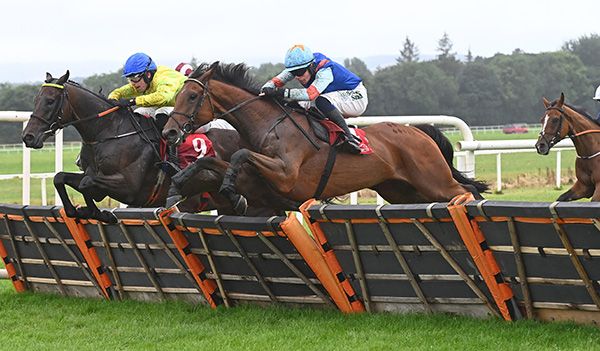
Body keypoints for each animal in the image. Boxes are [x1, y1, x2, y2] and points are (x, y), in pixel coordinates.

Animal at [22, 72, 284, 224]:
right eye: (35, 100)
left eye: (50, 101)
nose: (28, 136)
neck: (109, 131)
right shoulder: (99, 180)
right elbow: (60, 178)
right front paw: (82, 211)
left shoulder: (129, 187)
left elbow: (86, 184)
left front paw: (98, 213)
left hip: (259, 204)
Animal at [163, 62, 488, 214]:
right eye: (176, 95)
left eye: (192, 96)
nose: (169, 131)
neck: (270, 125)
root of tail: (419, 131)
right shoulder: (261, 180)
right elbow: (215, 162)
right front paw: (176, 185)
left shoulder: (287, 175)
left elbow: (239, 156)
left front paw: (228, 187)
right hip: (401, 190)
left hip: (433, 180)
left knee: (466, 190)